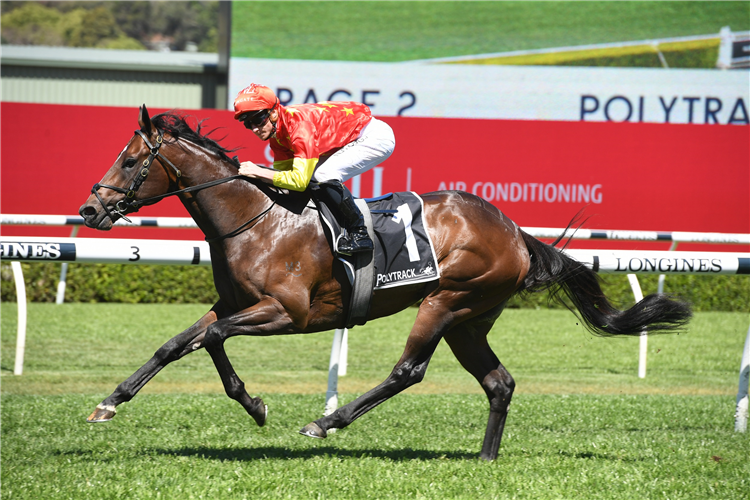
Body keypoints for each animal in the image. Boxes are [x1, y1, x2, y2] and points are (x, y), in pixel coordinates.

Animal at [78, 105, 692, 460]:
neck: (256, 221)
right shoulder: (231, 302)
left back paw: (327, 422)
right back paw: (486, 458)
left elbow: (210, 339)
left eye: (130, 160)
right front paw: (110, 402)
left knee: (408, 370)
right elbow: (177, 343)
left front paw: (255, 407)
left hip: (447, 300)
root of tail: (515, 231)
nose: (89, 209)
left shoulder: (288, 313)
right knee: (499, 383)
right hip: (470, 320)